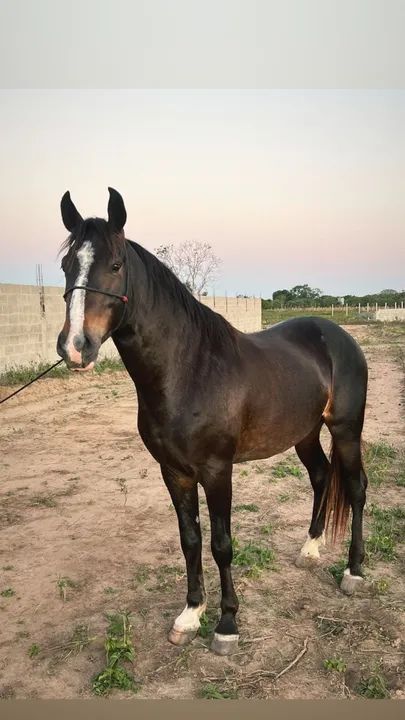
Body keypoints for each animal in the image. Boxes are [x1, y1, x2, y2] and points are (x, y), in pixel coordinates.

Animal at [57, 187, 369, 656]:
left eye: (115, 265)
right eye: (66, 265)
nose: (76, 346)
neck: (190, 370)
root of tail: (337, 335)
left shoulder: (217, 471)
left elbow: (222, 544)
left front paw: (226, 624)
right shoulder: (174, 472)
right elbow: (190, 540)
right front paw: (189, 615)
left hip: (347, 429)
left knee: (355, 487)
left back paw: (353, 572)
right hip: (306, 433)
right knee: (320, 477)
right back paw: (310, 550)